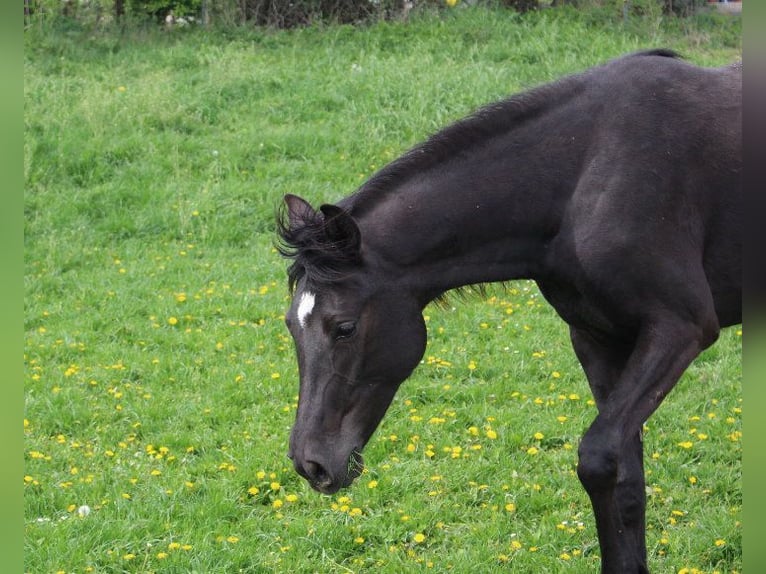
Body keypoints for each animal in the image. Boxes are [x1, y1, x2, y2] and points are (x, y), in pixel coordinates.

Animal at [280, 51, 740, 572]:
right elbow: (626, 476)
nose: (311, 463)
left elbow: (599, 457)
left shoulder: (681, 327)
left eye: (344, 327)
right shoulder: (597, 337)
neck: (585, 176)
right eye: (291, 326)